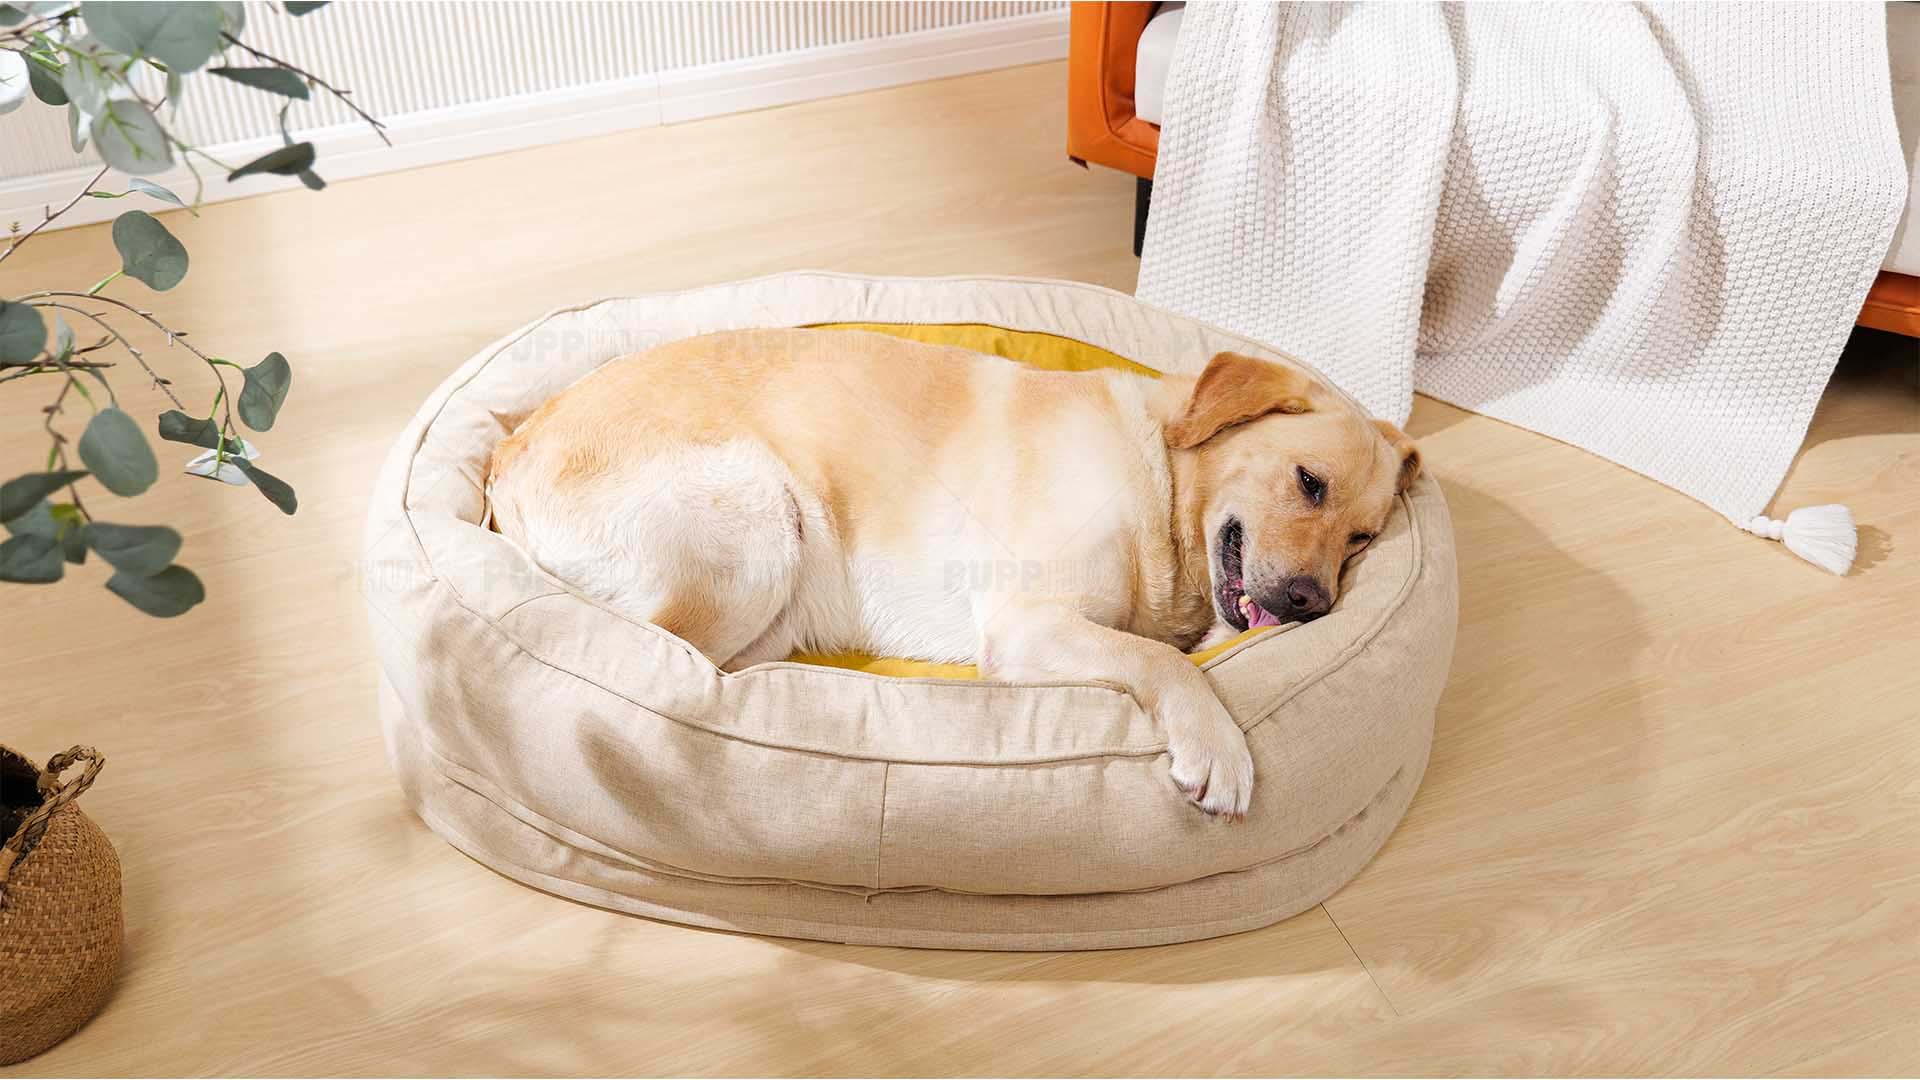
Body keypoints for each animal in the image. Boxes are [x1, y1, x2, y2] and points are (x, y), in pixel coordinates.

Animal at [483, 330, 1413, 814]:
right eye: (1308, 482)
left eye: (1363, 537)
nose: (1311, 603)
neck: (1161, 469)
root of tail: (509, 448)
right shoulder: (1028, 623)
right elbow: (1163, 662)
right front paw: (1218, 744)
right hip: (757, 521)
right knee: (663, 658)